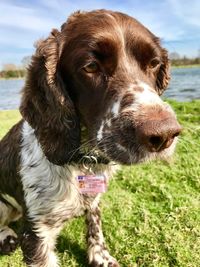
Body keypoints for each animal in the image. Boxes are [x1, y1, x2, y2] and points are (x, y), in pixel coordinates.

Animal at [0, 9, 181, 267]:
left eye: (154, 63)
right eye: (91, 66)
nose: (164, 134)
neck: (81, 161)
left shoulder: (94, 200)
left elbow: (95, 226)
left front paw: (101, 258)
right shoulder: (36, 231)